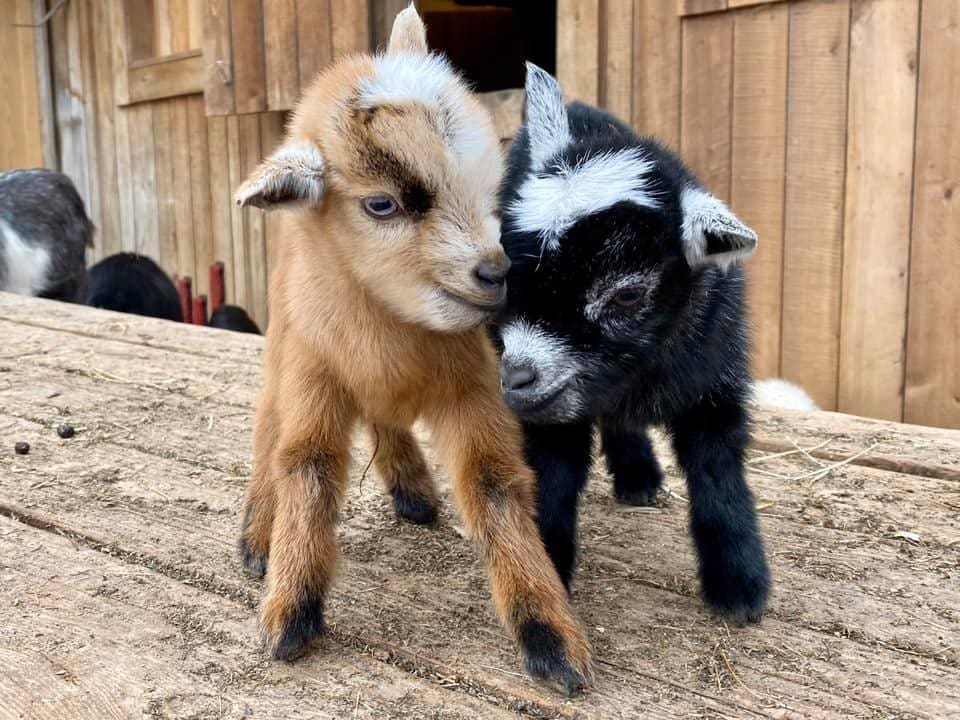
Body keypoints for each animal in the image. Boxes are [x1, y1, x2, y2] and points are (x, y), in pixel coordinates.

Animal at [233, 8, 590, 692]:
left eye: (489, 188)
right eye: (381, 204)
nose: (496, 273)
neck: (392, 332)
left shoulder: (475, 386)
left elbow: (494, 483)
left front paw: (550, 636)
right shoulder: (314, 374)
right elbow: (306, 466)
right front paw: (289, 613)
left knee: (385, 423)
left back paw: (414, 490)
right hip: (283, 348)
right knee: (267, 427)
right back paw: (259, 537)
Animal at [495, 65, 770, 624]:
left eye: (626, 294)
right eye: (506, 275)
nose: (517, 378)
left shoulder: (716, 378)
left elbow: (717, 469)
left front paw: (739, 585)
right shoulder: (552, 410)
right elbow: (554, 475)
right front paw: (547, 574)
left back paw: (638, 474)